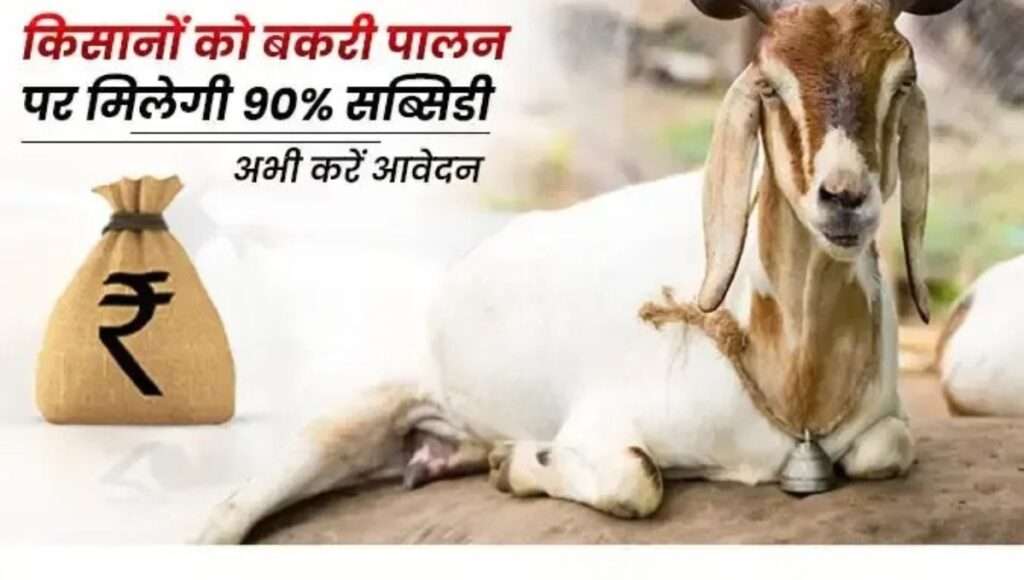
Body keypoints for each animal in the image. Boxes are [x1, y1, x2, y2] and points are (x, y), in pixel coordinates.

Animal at [197, 0, 961, 543]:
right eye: (771, 85)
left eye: (901, 81)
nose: (845, 198)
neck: (791, 380)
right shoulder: (601, 420)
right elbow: (636, 478)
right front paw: (519, 463)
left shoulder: (883, 423)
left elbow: (886, 449)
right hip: (355, 409)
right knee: (230, 510)